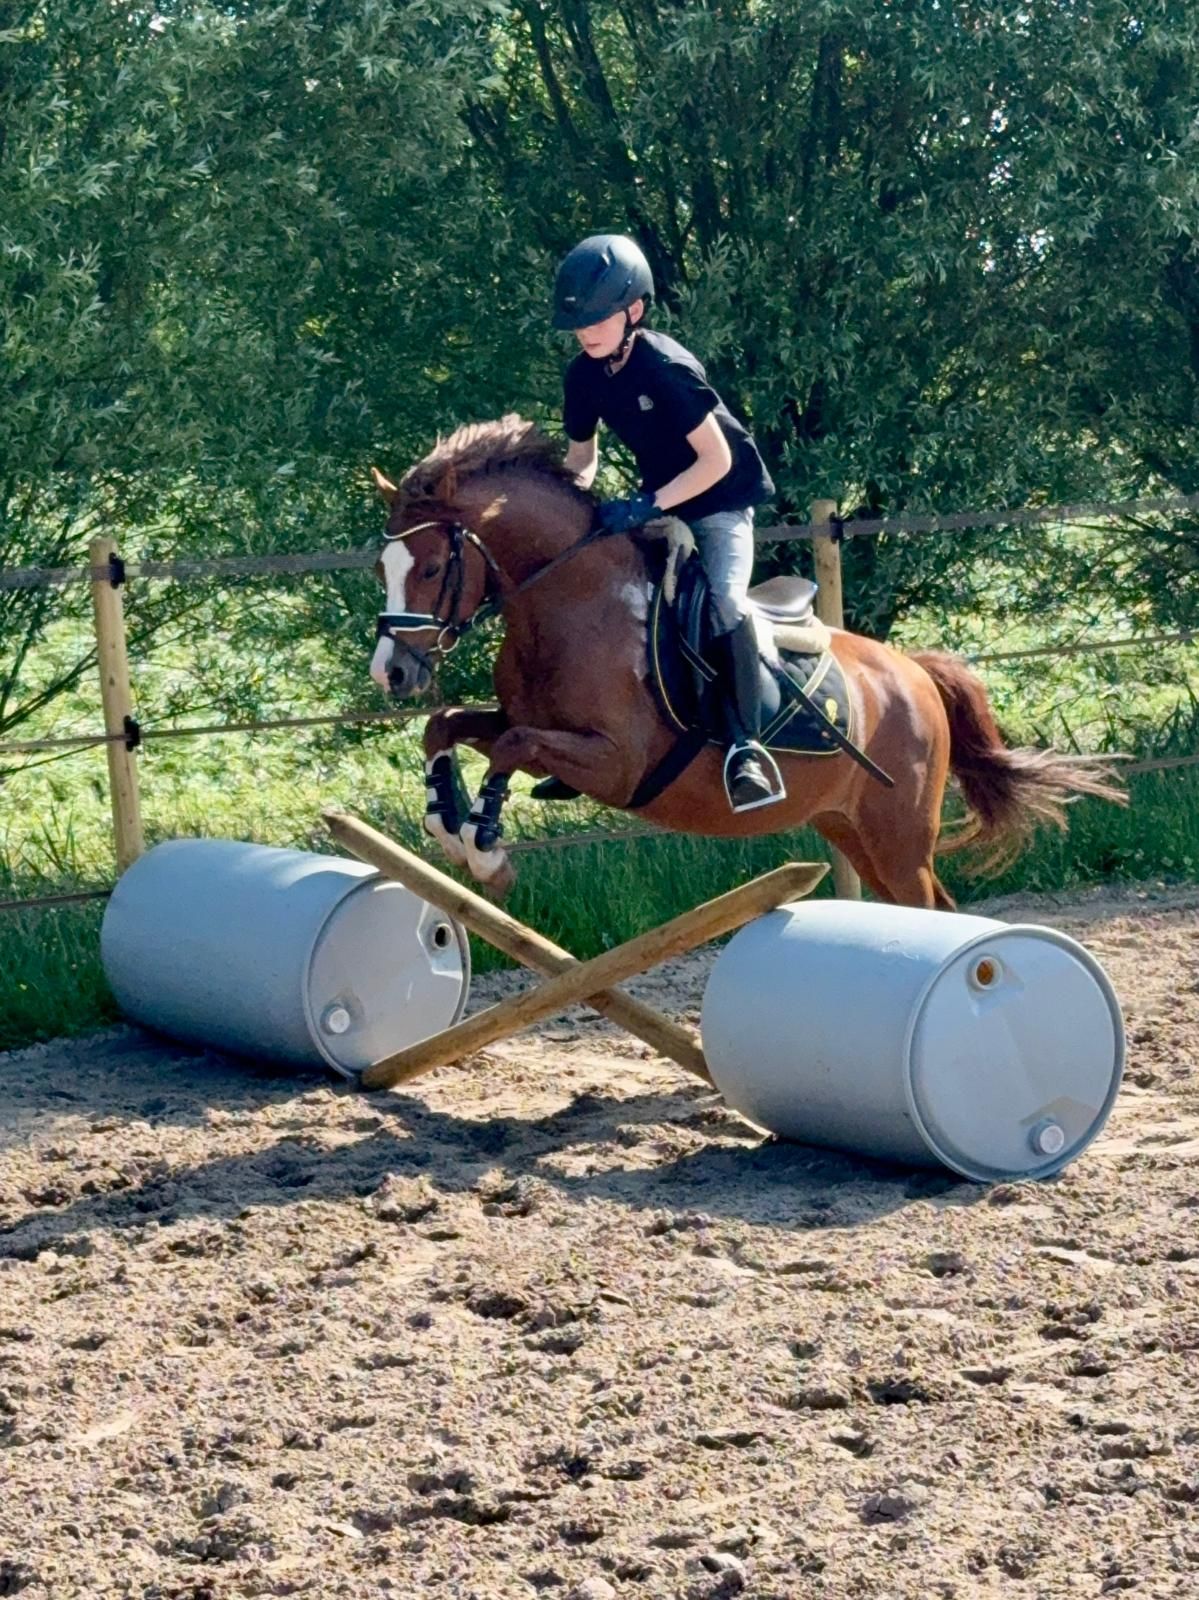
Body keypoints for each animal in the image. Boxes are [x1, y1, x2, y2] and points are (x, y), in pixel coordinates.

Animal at [368, 415, 1123, 902]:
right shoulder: (529, 724)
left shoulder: (617, 764)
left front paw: (485, 851)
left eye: (431, 567)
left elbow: (511, 746)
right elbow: (448, 727)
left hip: (898, 831)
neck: (570, 603)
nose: (390, 672)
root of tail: (914, 673)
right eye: (383, 565)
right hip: (849, 827)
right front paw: (445, 820)